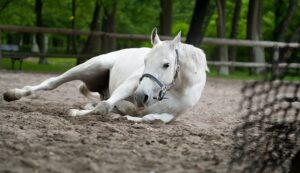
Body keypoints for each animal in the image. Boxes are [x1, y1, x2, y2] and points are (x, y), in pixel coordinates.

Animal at [2, 28, 209, 123]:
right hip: (89, 67)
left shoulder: (171, 114)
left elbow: (153, 118)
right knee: (52, 83)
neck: (178, 89)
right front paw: (76, 113)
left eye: (166, 64)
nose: (141, 96)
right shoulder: (131, 84)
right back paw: (13, 94)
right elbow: (104, 106)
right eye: (145, 61)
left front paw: (126, 117)